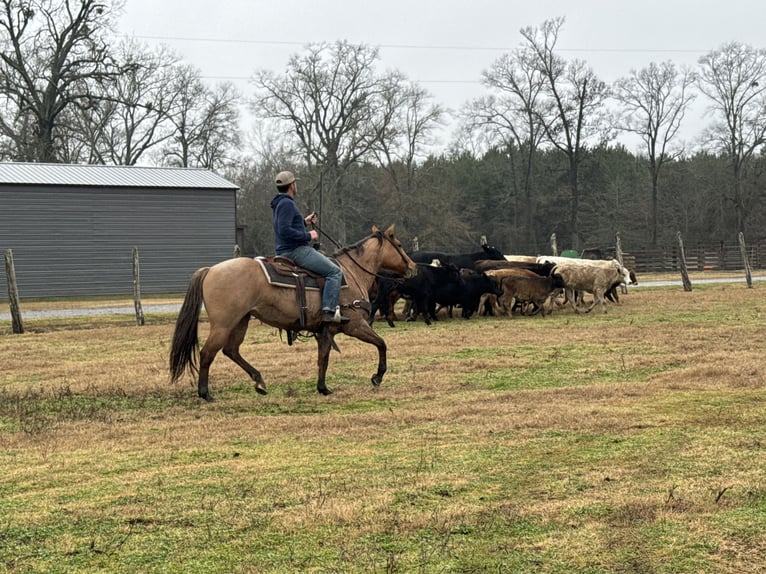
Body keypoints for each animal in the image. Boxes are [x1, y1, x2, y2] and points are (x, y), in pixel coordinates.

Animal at [170, 225, 416, 400]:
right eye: (399, 244)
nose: (413, 267)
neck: (350, 272)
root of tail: (210, 270)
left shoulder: (325, 332)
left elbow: (323, 358)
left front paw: (323, 388)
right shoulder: (355, 325)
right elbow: (381, 344)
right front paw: (377, 376)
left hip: (241, 321)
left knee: (231, 351)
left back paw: (259, 381)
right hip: (224, 324)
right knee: (207, 354)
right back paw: (205, 393)